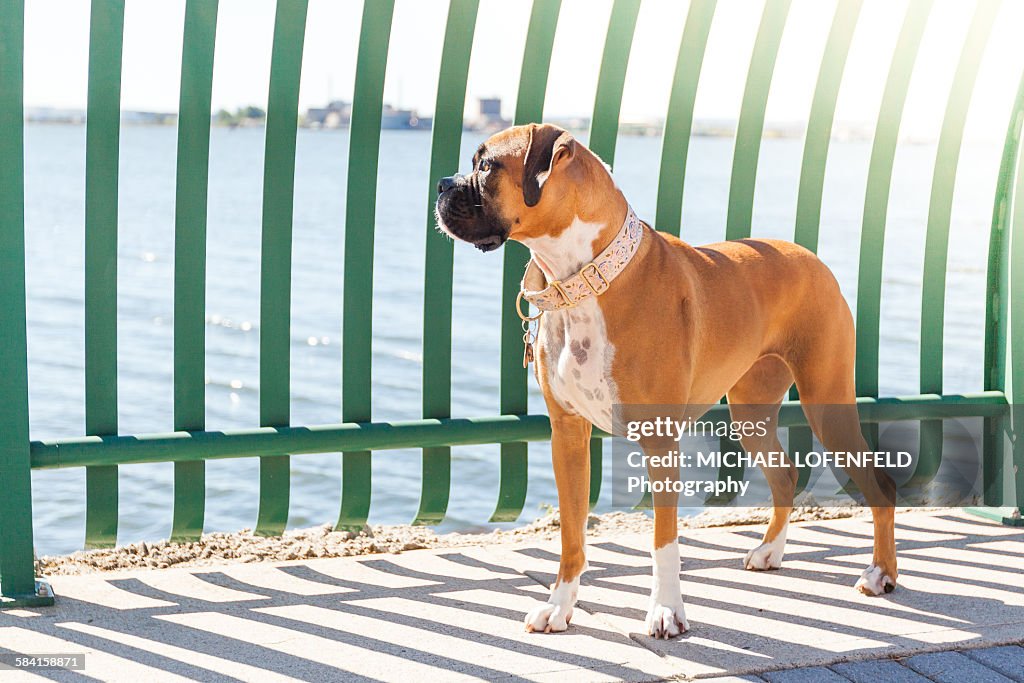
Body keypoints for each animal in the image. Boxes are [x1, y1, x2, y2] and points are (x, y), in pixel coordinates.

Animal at [432, 124, 897, 643]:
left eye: (487, 165)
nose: (442, 185)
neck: (585, 280)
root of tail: (811, 257)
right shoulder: (568, 436)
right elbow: (571, 534)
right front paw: (559, 606)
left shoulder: (659, 442)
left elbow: (664, 541)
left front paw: (666, 611)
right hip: (751, 412)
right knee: (785, 474)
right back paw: (771, 551)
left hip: (826, 404)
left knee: (879, 482)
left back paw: (880, 574)